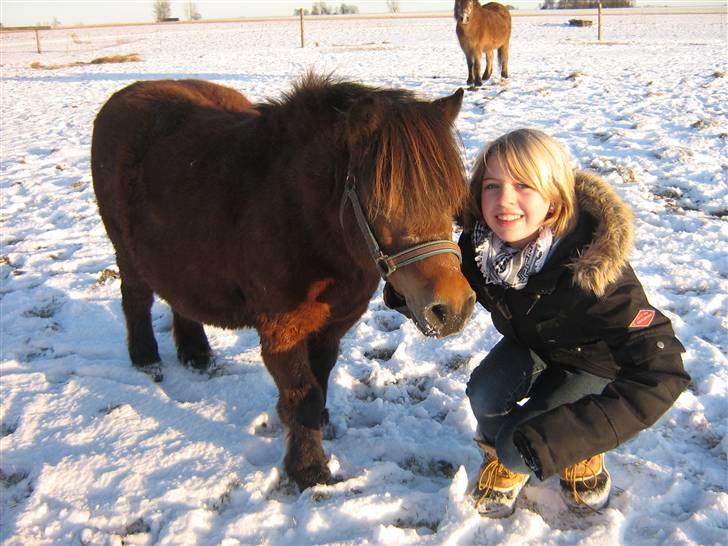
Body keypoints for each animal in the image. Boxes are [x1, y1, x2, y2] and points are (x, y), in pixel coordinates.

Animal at [91, 74, 476, 490]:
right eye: (381, 203)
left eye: (452, 198)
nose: (451, 308)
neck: (303, 218)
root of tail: (126, 94)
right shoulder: (282, 330)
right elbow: (302, 392)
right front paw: (308, 468)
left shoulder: (332, 326)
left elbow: (319, 379)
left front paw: (318, 427)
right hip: (127, 252)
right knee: (136, 298)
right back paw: (145, 356)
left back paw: (195, 353)